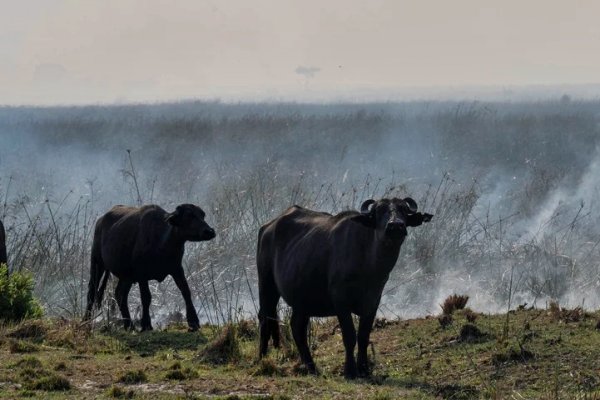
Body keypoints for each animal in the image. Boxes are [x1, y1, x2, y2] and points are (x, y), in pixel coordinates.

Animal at [83, 203, 216, 332]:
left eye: (202, 215)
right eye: (189, 215)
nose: (209, 231)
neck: (163, 244)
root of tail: (101, 220)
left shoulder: (177, 269)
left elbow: (186, 291)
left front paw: (193, 322)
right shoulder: (141, 274)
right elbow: (146, 297)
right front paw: (146, 324)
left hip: (126, 276)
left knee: (120, 294)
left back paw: (129, 325)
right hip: (97, 263)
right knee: (92, 292)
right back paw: (86, 321)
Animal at [256, 197, 432, 378]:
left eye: (403, 210)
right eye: (379, 211)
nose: (395, 225)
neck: (369, 263)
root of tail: (268, 227)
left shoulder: (373, 301)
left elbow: (363, 336)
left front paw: (364, 368)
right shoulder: (340, 300)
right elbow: (349, 336)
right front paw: (350, 370)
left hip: (302, 300)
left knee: (297, 328)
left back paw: (312, 367)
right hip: (266, 283)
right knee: (265, 317)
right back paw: (262, 358)